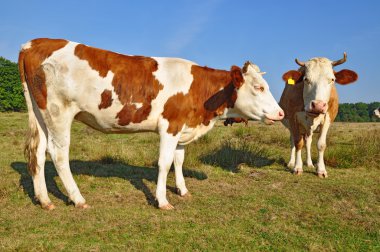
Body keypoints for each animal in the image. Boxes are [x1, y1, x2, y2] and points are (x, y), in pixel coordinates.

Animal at [18, 38, 284, 211]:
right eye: (259, 87)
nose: (281, 113)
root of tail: (34, 43)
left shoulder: (183, 128)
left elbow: (179, 161)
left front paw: (182, 190)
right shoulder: (170, 126)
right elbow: (165, 163)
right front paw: (163, 200)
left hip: (41, 115)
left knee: (38, 152)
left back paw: (44, 200)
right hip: (59, 113)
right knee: (58, 154)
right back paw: (78, 198)